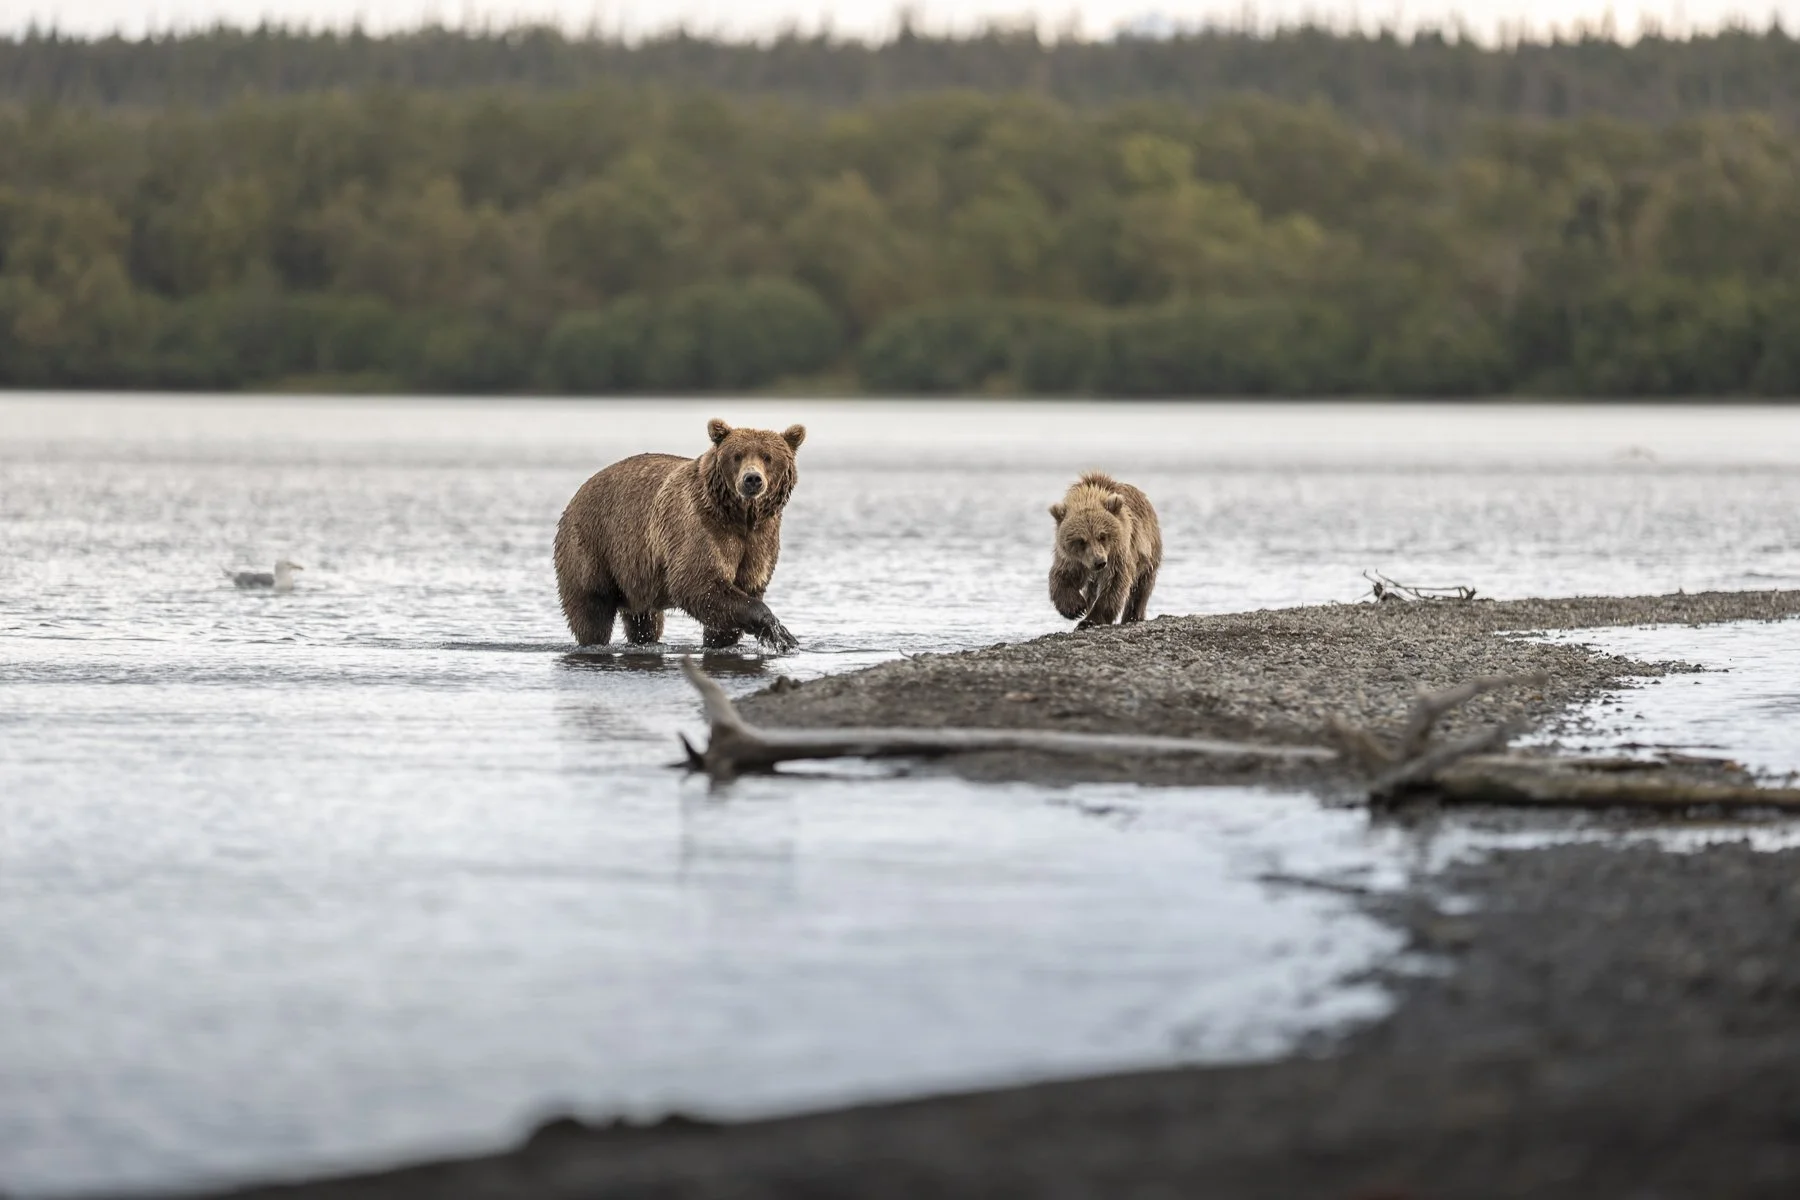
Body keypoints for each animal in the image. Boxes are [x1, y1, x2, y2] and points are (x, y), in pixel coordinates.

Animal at [553, 418, 805, 652]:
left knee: (644, 619)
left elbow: (741, 591)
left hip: (635, 575)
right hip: (592, 545)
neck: (740, 517)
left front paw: (721, 641)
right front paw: (779, 631)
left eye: (767, 457)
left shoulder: (760, 540)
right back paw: (594, 639)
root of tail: (577, 494)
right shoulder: (699, 527)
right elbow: (697, 582)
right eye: (737, 455)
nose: (752, 479)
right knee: (591, 609)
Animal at [1048, 471, 1162, 629]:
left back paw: (1132, 617)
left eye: (1102, 536)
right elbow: (1062, 575)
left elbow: (1114, 584)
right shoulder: (1074, 558)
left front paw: (1089, 621)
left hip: (1149, 554)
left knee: (1140, 590)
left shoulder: (1118, 554)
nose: (1099, 562)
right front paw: (1075, 608)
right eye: (1081, 541)